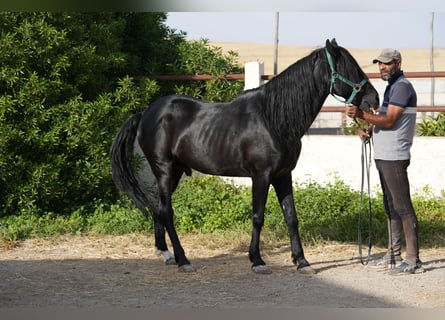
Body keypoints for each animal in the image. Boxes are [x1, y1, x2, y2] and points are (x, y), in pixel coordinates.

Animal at [109, 38, 376, 274]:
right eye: (349, 67)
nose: (374, 98)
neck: (273, 119)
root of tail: (146, 113)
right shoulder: (261, 176)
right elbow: (258, 217)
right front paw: (257, 260)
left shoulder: (283, 175)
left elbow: (291, 217)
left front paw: (301, 261)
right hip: (163, 169)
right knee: (167, 212)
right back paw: (183, 259)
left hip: (173, 172)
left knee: (158, 207)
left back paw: (165, 253)